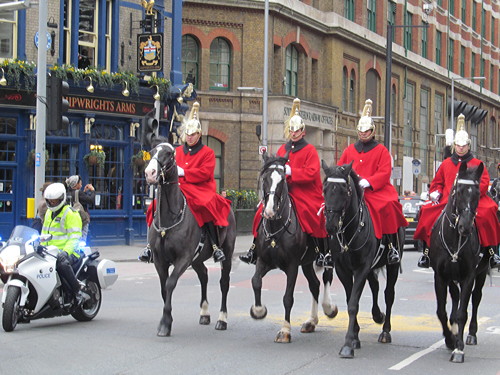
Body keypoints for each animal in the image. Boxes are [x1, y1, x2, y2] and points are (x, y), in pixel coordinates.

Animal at [143, 143, 236, 338]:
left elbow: (170, 283)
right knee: (204, 275)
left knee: (224, 283)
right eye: (153, 151)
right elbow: (164, 288)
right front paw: (167, 320)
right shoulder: (159, 260)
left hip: (227, 253)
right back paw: (205, 313)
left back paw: (222, 319)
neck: (170, 218)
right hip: (197, 259)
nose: (150, 173)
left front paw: (165, 323)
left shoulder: (183, 258)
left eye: (169, 154)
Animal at [249, 153, 336, 344]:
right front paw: (258, 310)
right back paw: (311, 321)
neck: (276, 226)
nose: (269, 211)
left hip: (328, 257)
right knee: (315, 285)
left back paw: (329, 307)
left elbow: (288, 298)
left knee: (326, 278)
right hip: (307, 263)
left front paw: (285, 331)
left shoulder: (292, 266)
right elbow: (256, 281)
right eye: (265, 178)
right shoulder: (264, 261)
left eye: (282, 180)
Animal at [322, 161, 404, 358]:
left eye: (344, 190)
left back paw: (385, 331)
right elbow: (350, 299)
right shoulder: (343, 269)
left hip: (393, 265)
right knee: (375, 286)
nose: (330, 226)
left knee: (389, 294)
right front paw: (355, 337)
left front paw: (347, 344)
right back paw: (377, 315)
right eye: (324, 188)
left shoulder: (362, 267)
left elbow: (353, 303)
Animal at [428, 162, 490, 364]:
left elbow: (464, 311)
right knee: (455, 296)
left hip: (481, 273)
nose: (465, 226)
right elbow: (441, 311)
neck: (456, 238)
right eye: (459, 191)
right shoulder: (440, 276)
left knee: (476, 298)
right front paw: (449, 339)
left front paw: (459, 348)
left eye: (477, 193)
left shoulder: (469, 275)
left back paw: (471, 334)